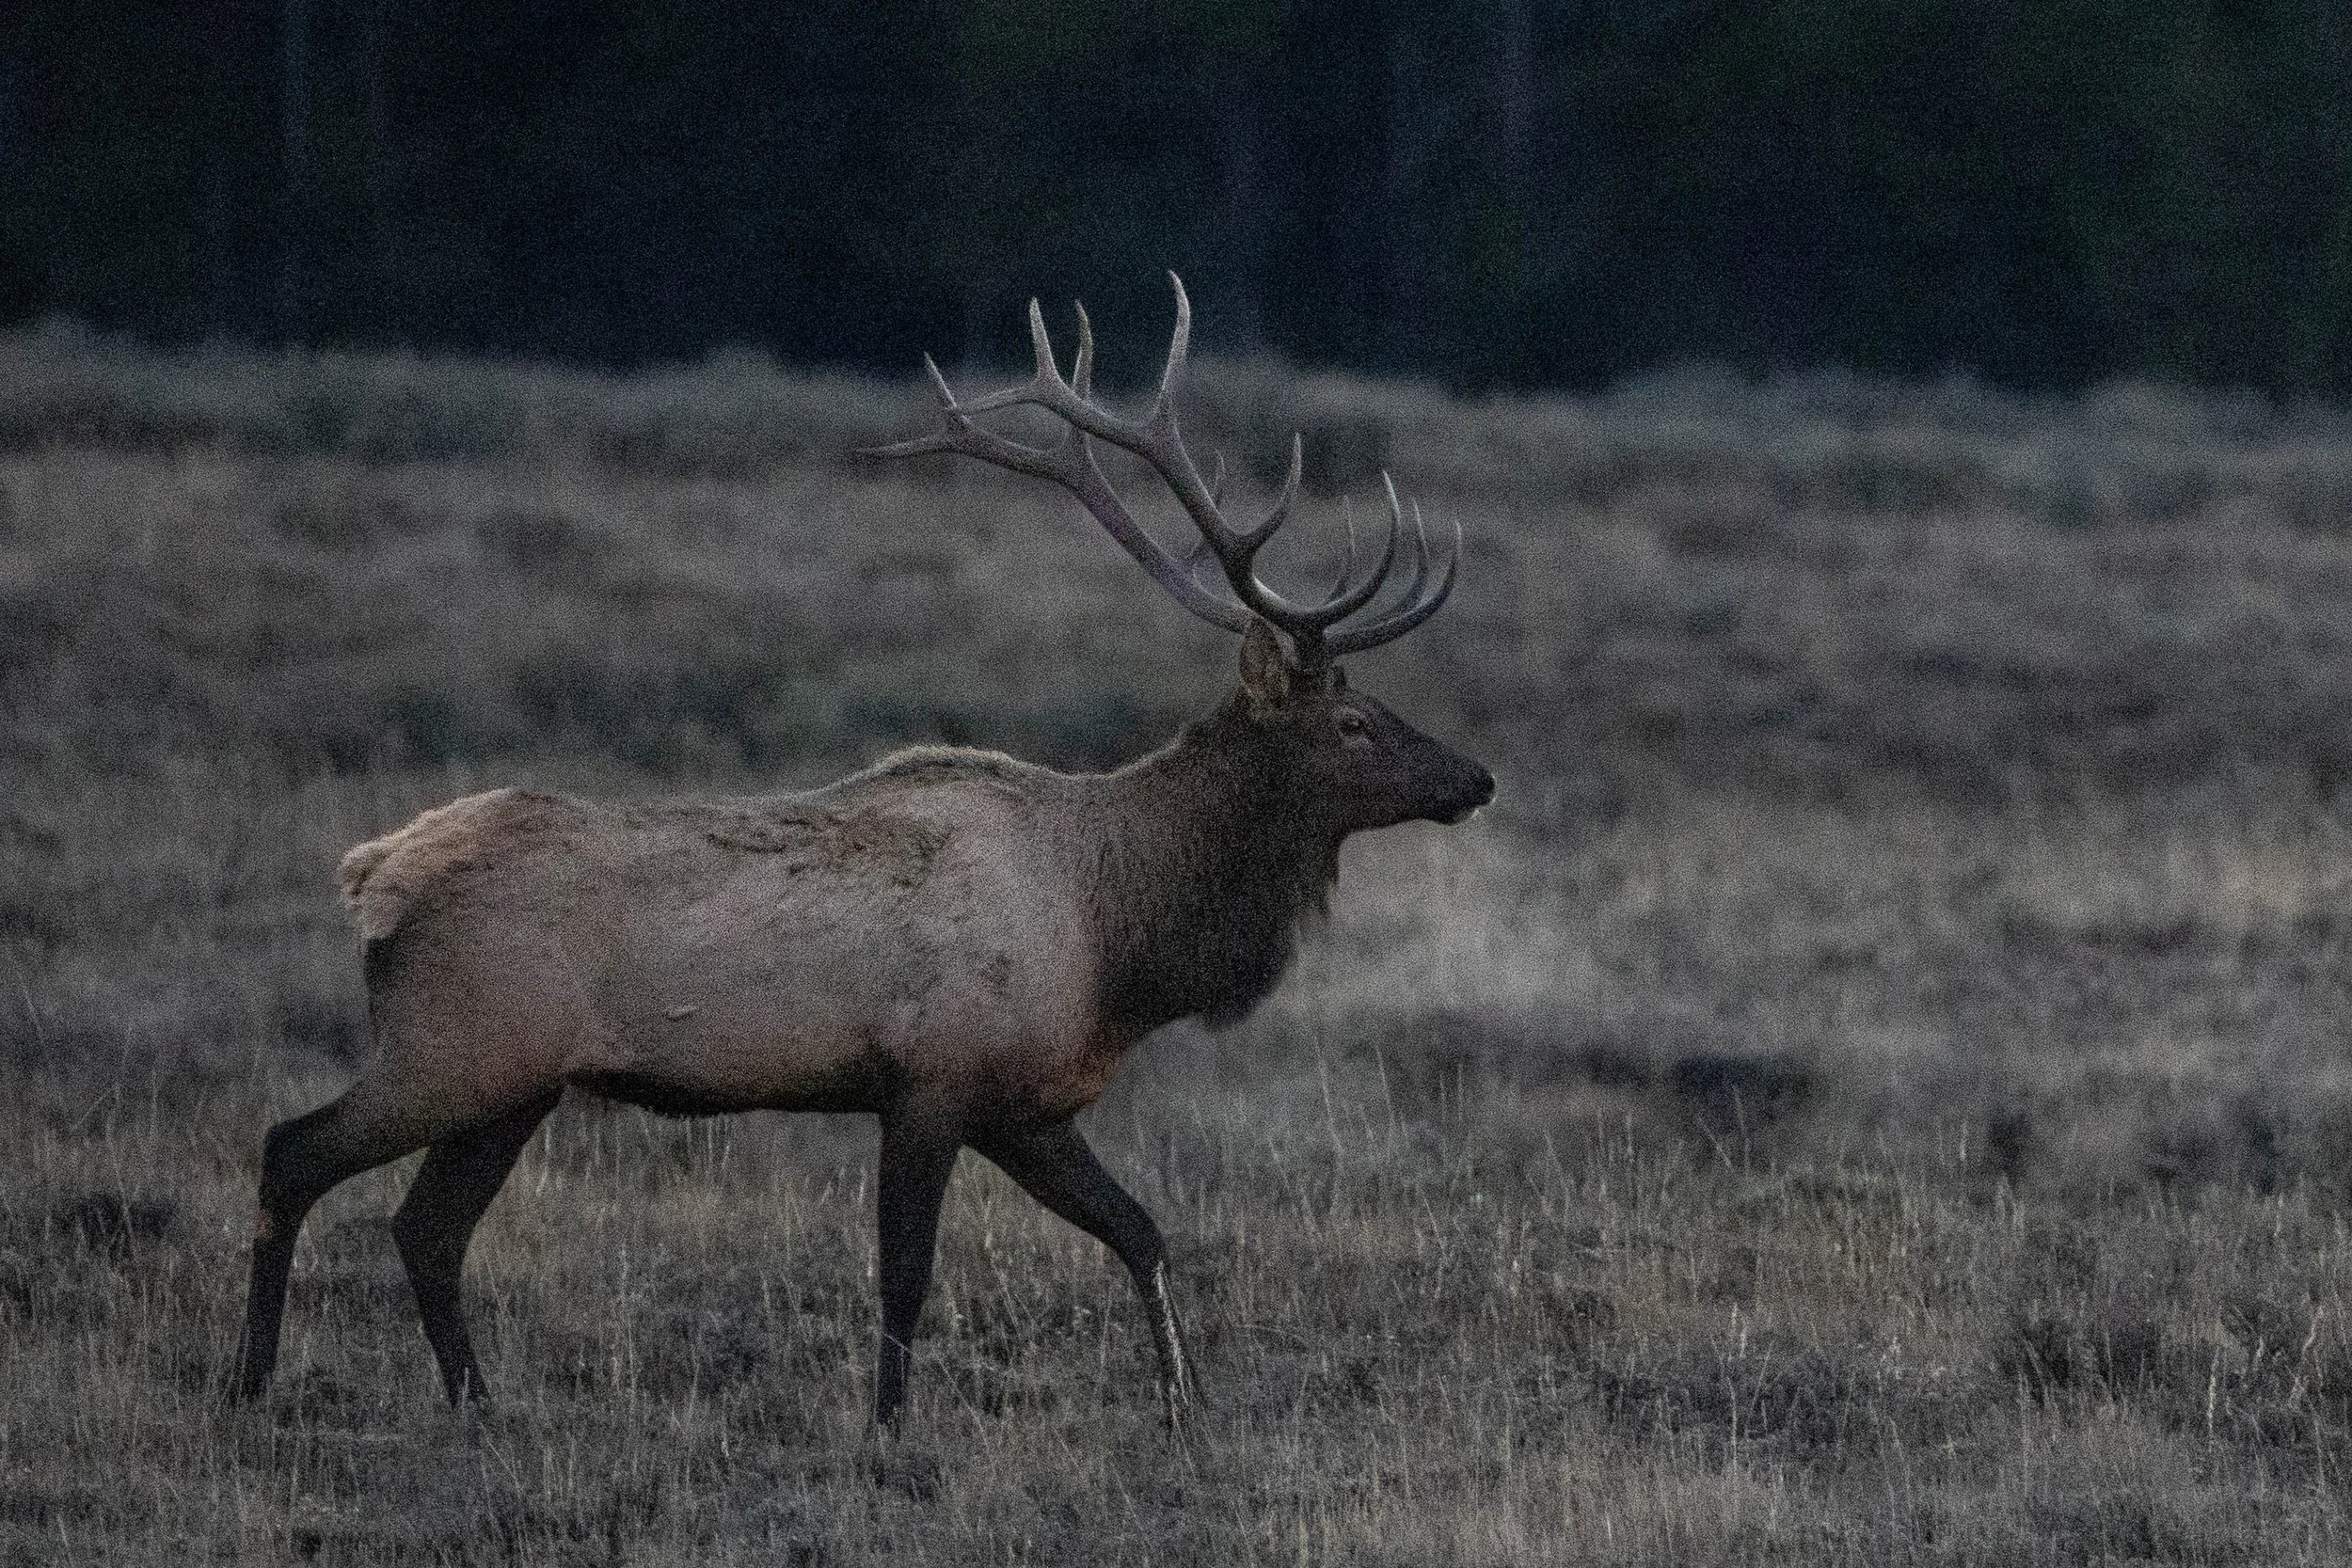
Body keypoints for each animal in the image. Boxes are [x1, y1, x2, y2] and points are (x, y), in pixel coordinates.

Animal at [229, 274, 1493, 1429]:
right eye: (1353, 722)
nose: (1476, 778)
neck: (1115, 937)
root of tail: (371, 876)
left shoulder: (1027, 1101)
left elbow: (1140, 1229)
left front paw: (1186, 1402)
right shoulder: (932, 1076)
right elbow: (905, 1272)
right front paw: (887, 1424)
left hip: (513, 1080)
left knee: (424, 1225)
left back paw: (479, 1402)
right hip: (457, 1045)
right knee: (295, 1151)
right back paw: (251, 1382)